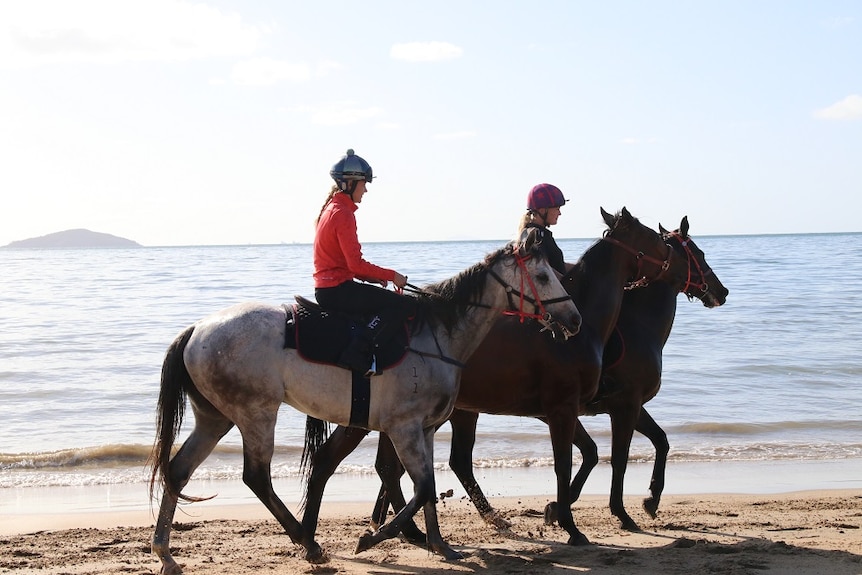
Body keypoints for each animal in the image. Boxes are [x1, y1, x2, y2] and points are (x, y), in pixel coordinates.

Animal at [296, 208, 688, 552]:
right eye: (655, 239)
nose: (675, 265)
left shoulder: (575, 410)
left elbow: (597, 454)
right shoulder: (576, 409)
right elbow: (583, 461)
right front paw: (578, 523)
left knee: (392, 468)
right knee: (350, 463)